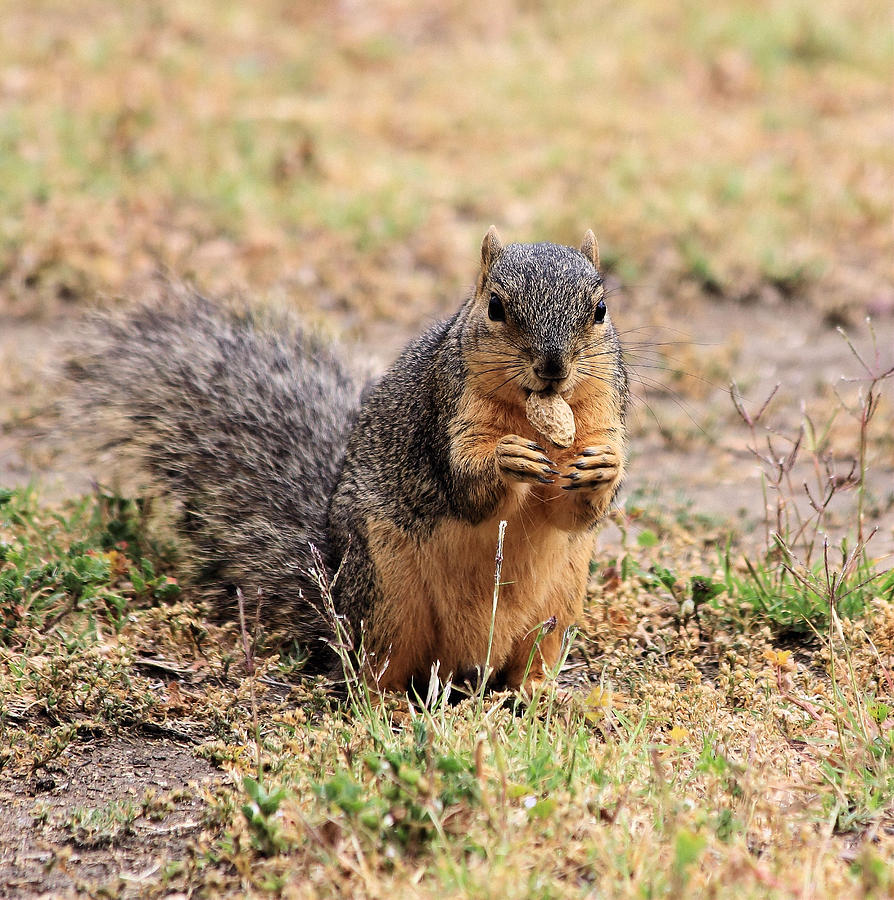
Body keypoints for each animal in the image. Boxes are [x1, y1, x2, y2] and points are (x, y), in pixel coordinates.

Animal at [68, 229, 632, 692]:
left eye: (600, 310)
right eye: (495, 307)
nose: (553, 367)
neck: (533, 412)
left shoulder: (604, 410)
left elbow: (576, 513)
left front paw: (605, 468)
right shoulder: (446, 410)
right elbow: (468, 489)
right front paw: (506, 457)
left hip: (559, 605)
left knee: (526, 666)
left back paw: (547, 696)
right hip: (387, 594)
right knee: (376, 670)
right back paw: (392, 706)